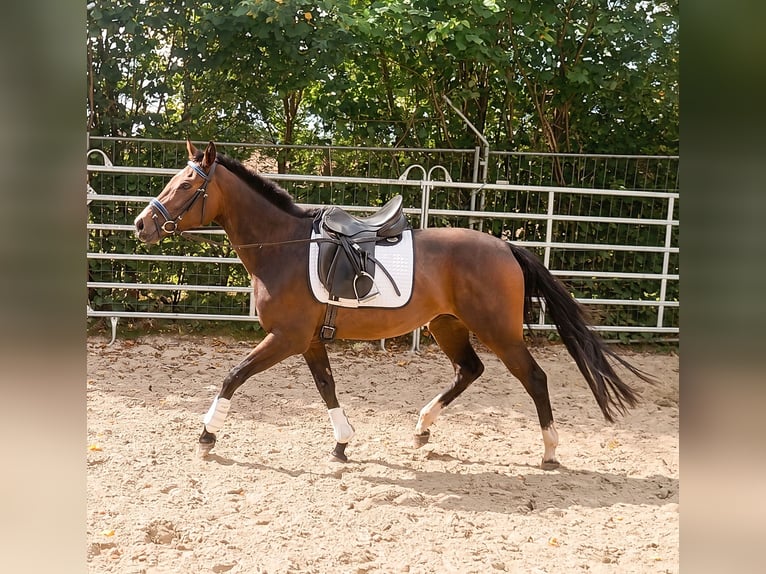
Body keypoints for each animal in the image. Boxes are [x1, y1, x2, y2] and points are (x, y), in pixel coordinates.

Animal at [134, 140, 655, 469]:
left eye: (186, 186)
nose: (142, 224)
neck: (284, 247)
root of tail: (507, 247)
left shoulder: (285, 338)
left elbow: (233, 376)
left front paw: (207, 435)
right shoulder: (308, 341)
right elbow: (326, 387)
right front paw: (342, 443)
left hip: (499, 331)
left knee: (535, 378)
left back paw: (548, 450)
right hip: (447, 325)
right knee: (470, 370)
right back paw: (423, 428)